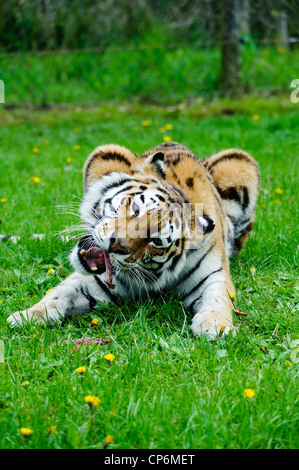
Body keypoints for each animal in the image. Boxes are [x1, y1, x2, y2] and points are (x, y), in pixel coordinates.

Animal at [6, 140, 260, 338]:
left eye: (155, 241)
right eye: (135, 209)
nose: (115, 244)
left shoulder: (213, 276)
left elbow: (219, 299)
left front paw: (215, 325)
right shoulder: (97, 281)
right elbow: (60, 292)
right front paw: (25, 316)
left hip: (241, 162)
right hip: (106, 152)